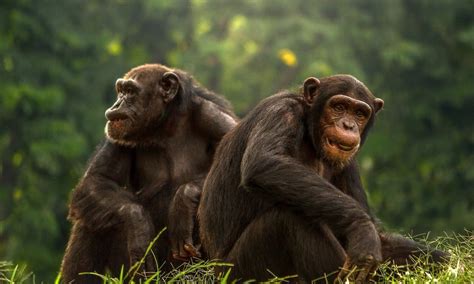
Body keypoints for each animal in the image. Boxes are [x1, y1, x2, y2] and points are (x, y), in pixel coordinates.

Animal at [60, 63, 236, 282]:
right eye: (120, 91)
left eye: (130, 92)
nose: (116, 105)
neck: (166, 125)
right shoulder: (116, 133)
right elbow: (97, 180)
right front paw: (139, 226)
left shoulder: (214, 117)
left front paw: (183, 200)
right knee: (90, 217)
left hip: (191, 272)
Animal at [197, 75, 448, 282]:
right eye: (339, 107)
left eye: (359, 113)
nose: (348, 125)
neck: (311, 134)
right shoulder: (282, 111)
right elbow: (265, 163)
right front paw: (362, 228)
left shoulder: (349, 164)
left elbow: (379, 239)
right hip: (241, 272)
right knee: (289, 219)